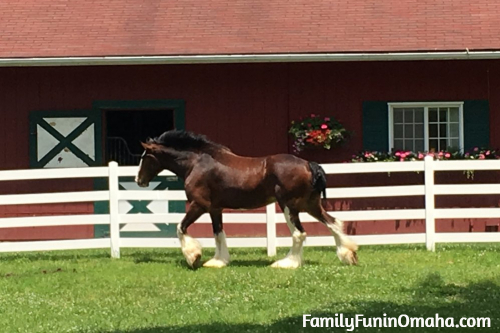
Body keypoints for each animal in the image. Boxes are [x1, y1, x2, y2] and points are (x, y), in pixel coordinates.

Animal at [135, 129, 358, 268]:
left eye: (145, 157)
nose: (139, 180)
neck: (197, 163)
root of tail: (308, 165)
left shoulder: (199, 205)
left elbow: (180, 228)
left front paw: (194, 258)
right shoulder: (215, 209)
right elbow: (218, 234)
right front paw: (218, 261)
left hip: (289, 206)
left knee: (299, 234)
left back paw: (286, 264)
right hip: (310, 205)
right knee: (333, 223)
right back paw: (349, 255)